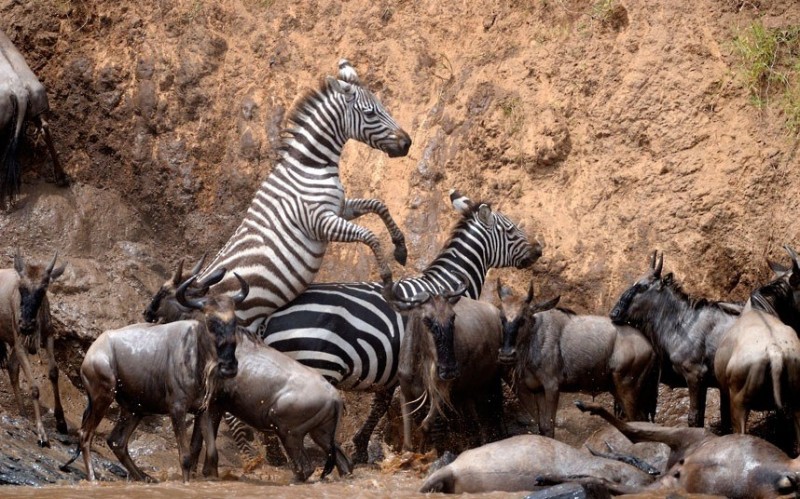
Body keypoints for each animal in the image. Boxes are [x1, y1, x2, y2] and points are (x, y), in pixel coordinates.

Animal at [196, 59, 410, 332]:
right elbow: (369, 236)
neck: (310, 165)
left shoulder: (339, 208)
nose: (407, 143)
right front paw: (388, 281)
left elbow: (378, 204)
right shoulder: (319, 221)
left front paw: (401, 247)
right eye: (371, 113)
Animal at [260, 189, 544, 462]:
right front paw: (439, 448)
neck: (446, 284)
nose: (539, 249)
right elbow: (437, 408)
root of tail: (268, 317)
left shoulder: (391, 369)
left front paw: (362, 448)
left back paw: (275, 457)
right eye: (511, 230)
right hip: (319, 363)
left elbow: (381, 405)